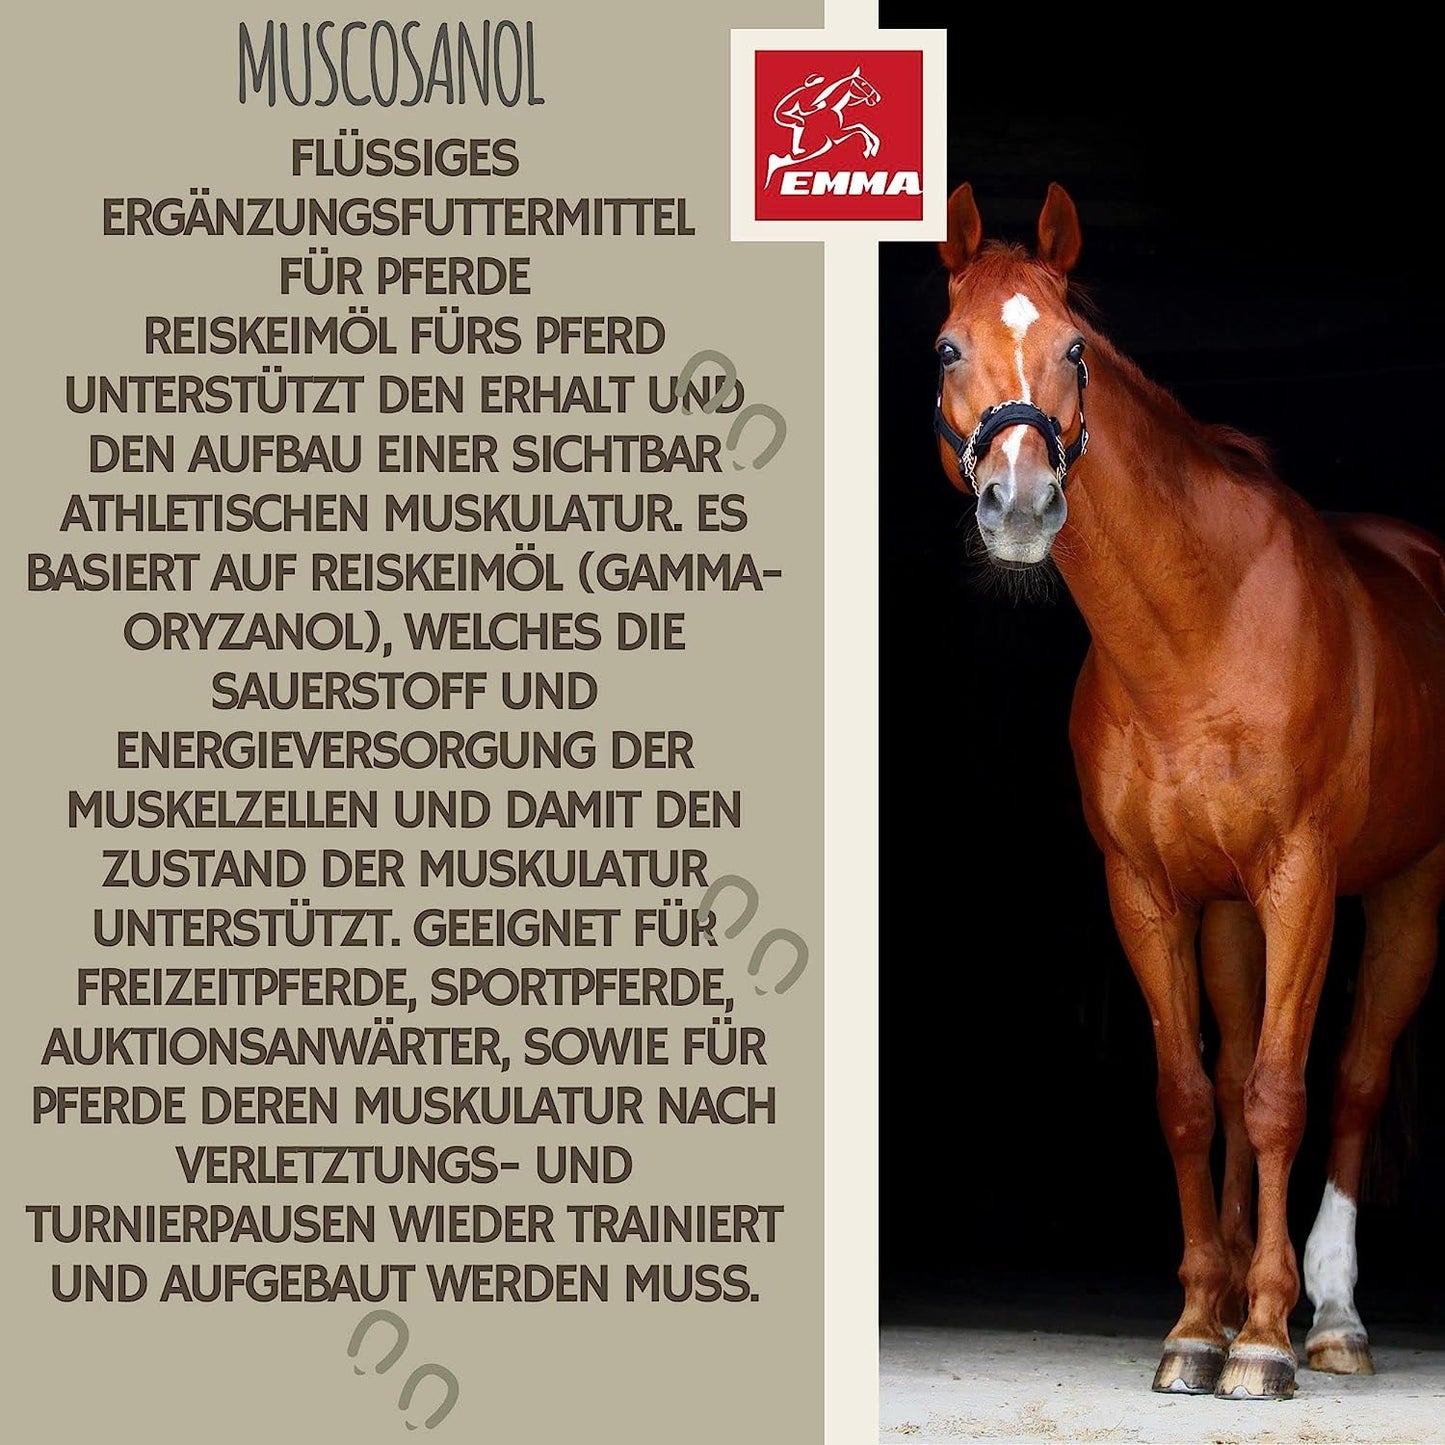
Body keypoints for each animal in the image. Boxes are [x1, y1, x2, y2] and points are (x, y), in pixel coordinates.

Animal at [932, 182, 1445, 1400]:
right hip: (1226, 919)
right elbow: (1189, 1099)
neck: (1196, 632)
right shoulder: (1148, 891)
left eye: (1074, 346)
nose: (1018, 501)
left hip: (1405, 891)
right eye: (945, 348)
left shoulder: (1299, 876)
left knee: (1350, 1080)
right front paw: (1196, 1325)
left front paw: (1260, 1335)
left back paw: (1331, 1317)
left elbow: (1277, 1094)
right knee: (1234, 1067)